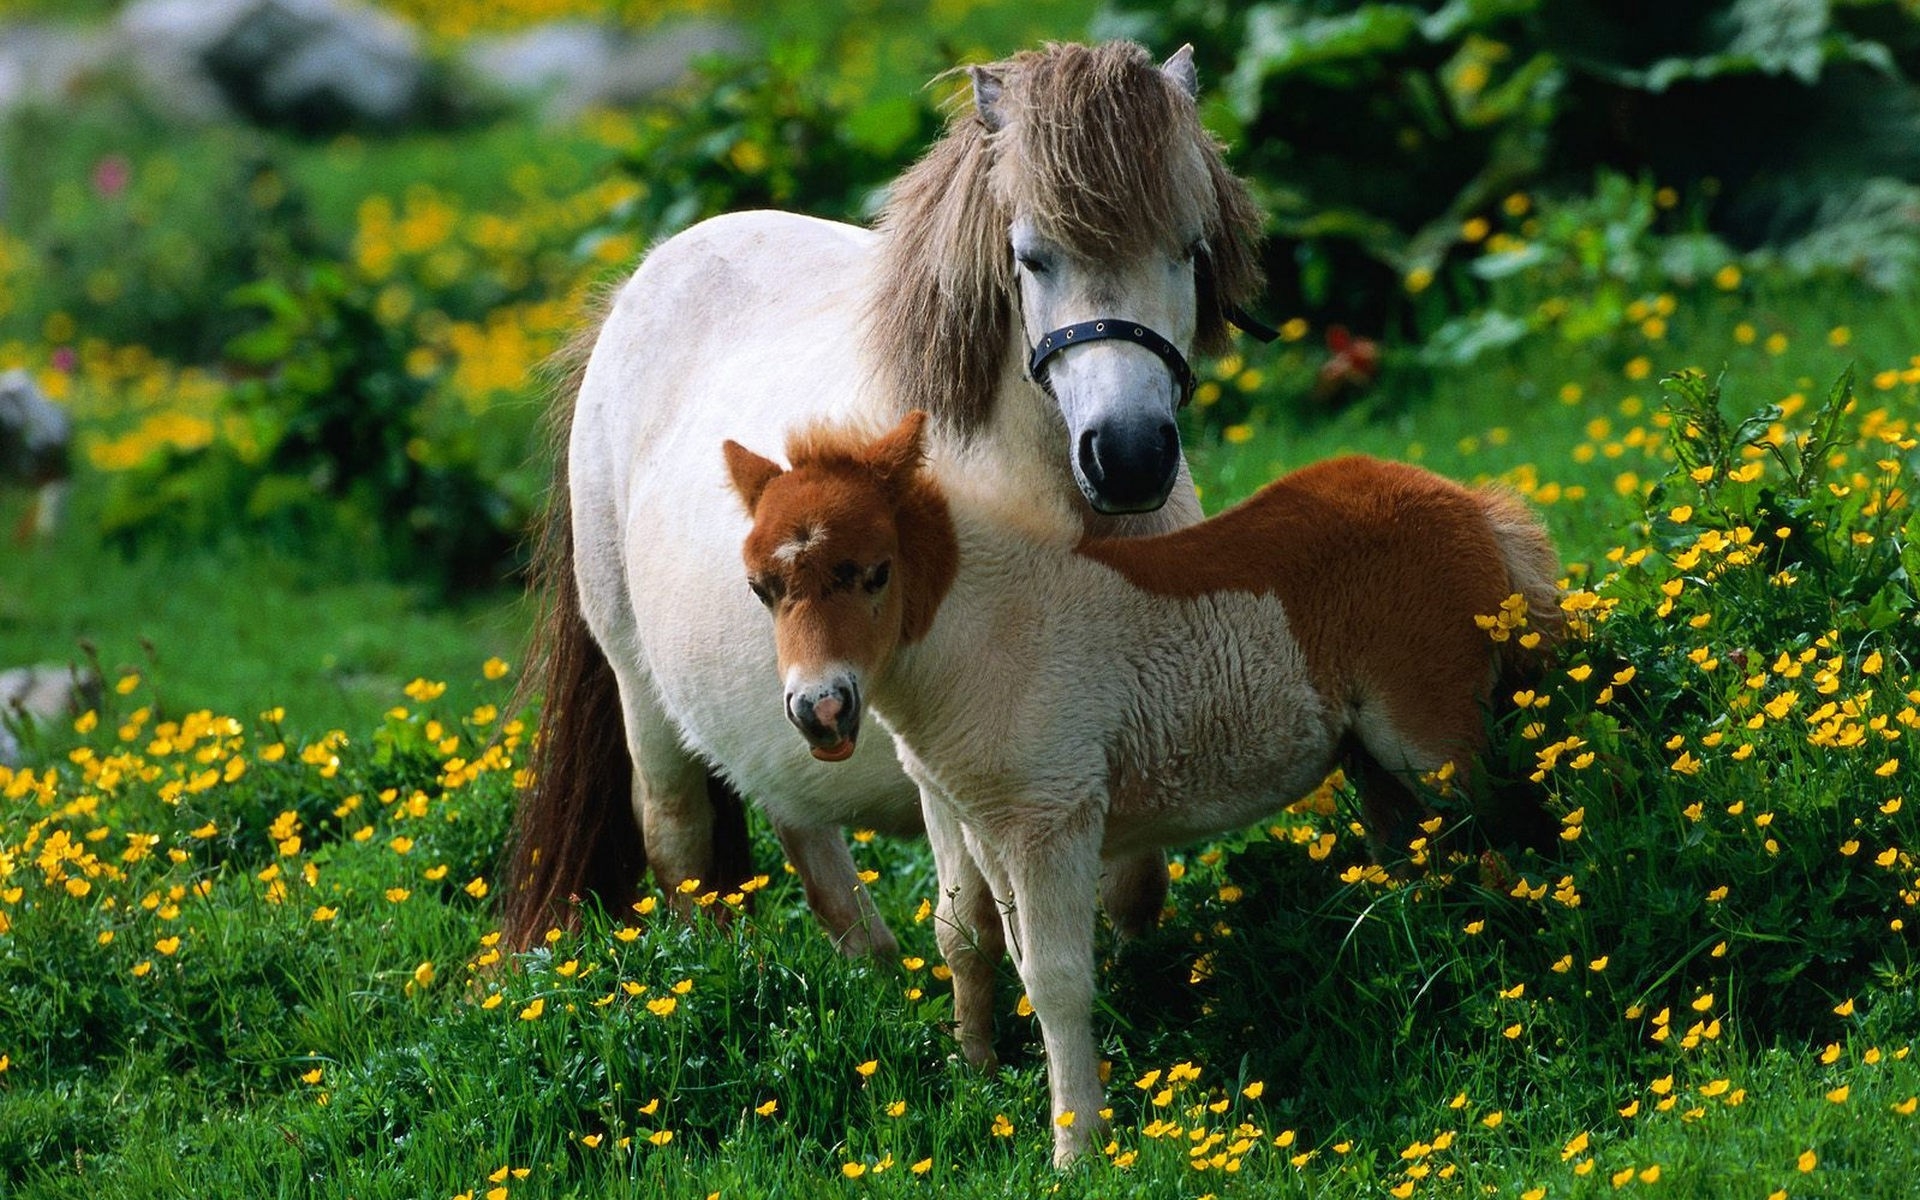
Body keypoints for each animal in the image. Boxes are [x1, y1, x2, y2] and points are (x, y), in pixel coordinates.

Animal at [503, 42, 1267, 948]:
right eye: (1032, 256)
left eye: (1188, 249)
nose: (1129, 456)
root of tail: (634, 292)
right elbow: (983, 920)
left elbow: (1134, 889)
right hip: (641, 692)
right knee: (679, 842)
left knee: (799, 822)